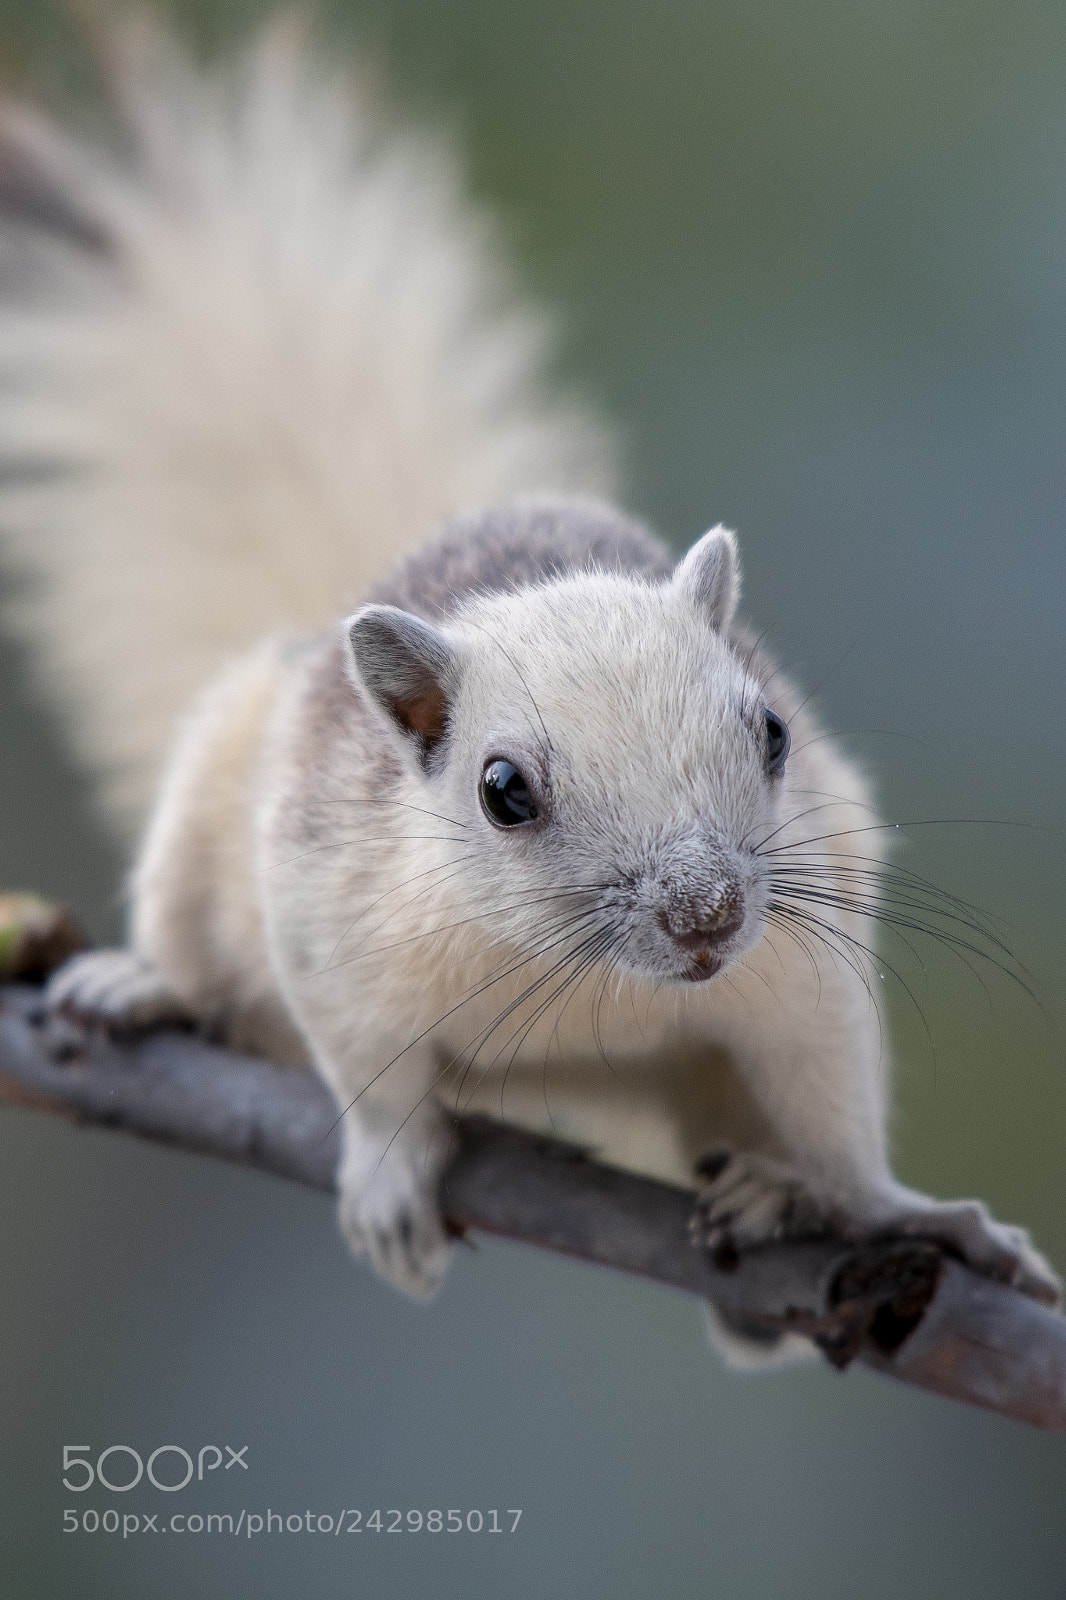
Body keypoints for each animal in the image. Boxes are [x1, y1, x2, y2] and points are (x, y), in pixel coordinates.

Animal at [0, 16, 1058, 1360]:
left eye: (772, 731)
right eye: (502, 788)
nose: (706, 915)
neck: (592, 994)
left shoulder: (804, 965)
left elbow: (836, 1116)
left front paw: (901, 1211)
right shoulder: (327, 919)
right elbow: (372, 1078)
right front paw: (389, 1180)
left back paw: (769, 1200)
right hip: (210, 807)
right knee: (199, 942)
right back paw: (139, 984)